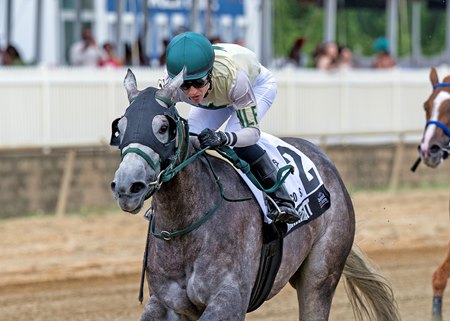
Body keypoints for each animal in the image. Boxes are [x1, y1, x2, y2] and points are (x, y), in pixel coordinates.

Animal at [110, 69, 400, 320]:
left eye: (162, 127)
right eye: (120, 128)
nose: (127, 186)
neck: (186, 227)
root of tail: (326, 162)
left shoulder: (229, 300)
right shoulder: (166, 303)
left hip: (320, 275)